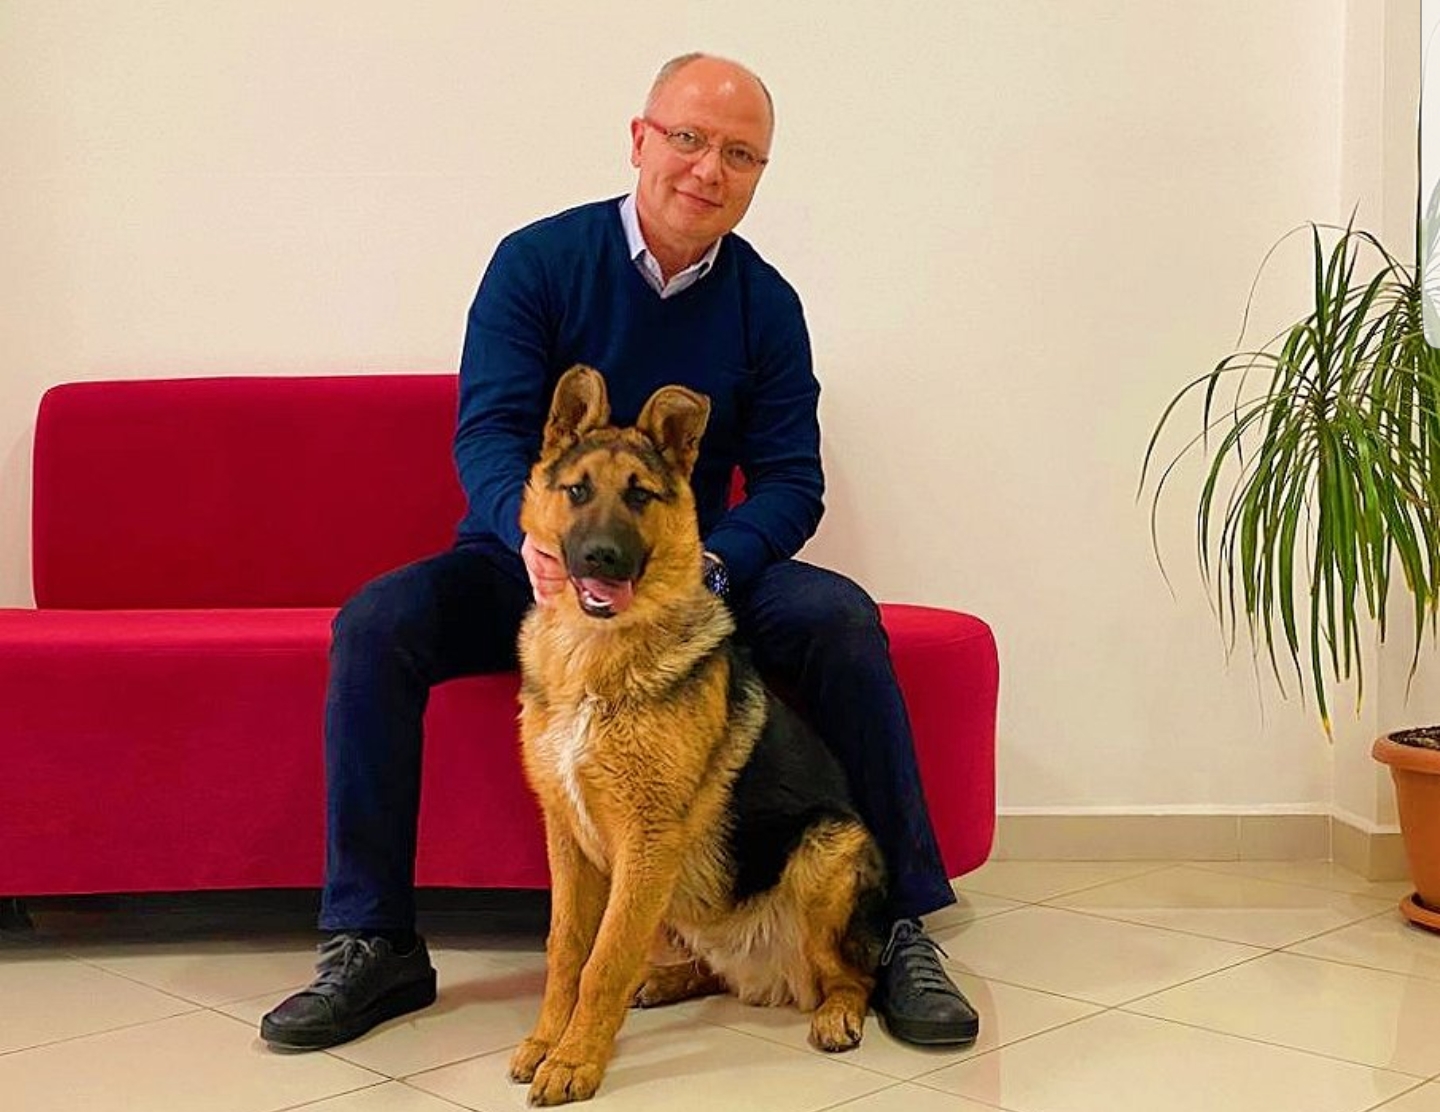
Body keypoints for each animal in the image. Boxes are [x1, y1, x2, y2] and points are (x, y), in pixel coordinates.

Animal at [507, 365, 886, 1105]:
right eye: (578, 490)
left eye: (640, 495)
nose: (602, 558)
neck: (595, 658)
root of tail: (770, 977)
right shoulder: (567, 838)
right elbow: (567, 951)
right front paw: (546, 1042)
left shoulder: (646, 838)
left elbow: (604, 959)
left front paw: (575, 1059)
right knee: (707, 967)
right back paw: (664, 982)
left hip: (823, 853)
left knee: (855, 975)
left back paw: (836, 1015)